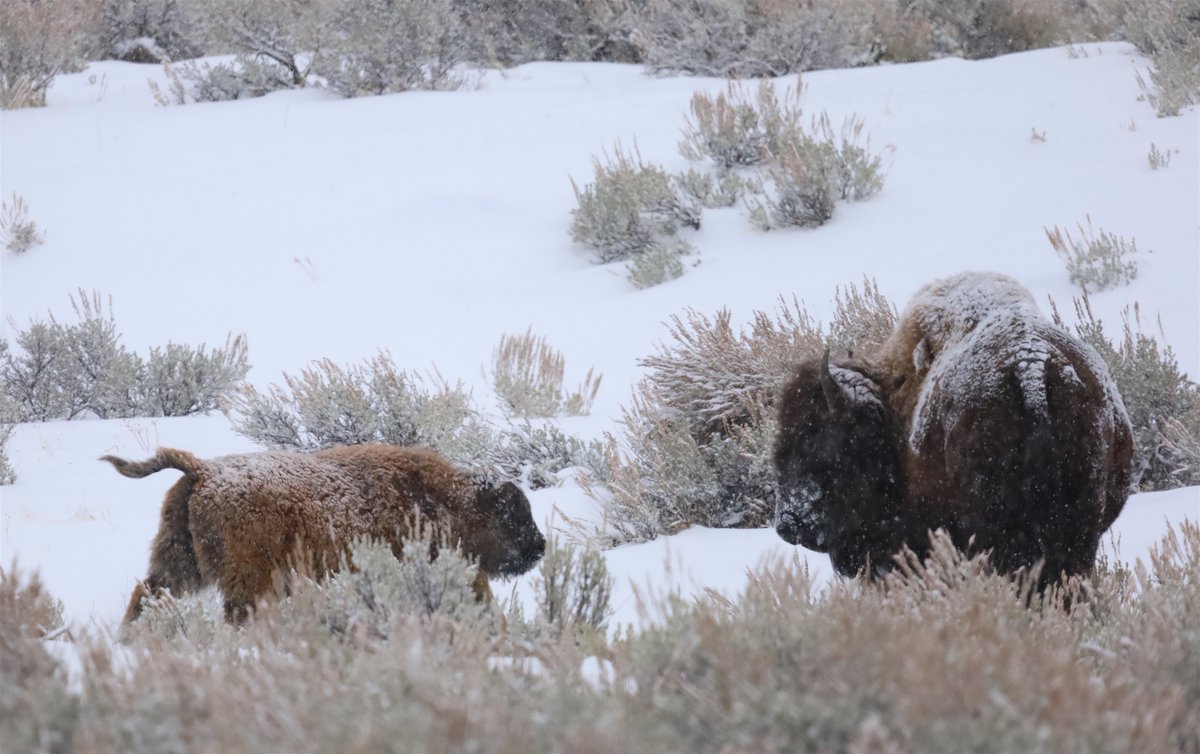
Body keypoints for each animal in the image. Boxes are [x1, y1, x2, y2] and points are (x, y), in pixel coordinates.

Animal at [105, 441, 547, 624]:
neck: (445, 502)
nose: (540, 547)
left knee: (148, 594)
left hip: (178, 564)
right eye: (516, 517)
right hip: (249, 580)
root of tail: (201, 470)